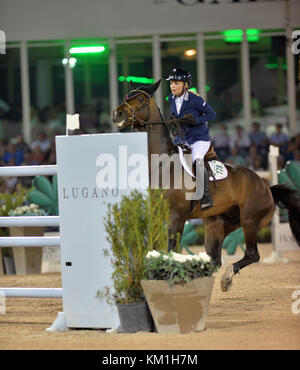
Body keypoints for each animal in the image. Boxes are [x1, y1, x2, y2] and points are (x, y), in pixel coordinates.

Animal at [112, 80, 300, 292]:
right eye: (126, 96)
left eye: (140, 99)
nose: (117, 114)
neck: (161, 164)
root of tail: (267, 187)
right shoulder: (155, 216)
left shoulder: (176, 218)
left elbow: (170, 251)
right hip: (216, 223)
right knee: (214, 258)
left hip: (249, 222)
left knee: (252, 254)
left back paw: (226, 278)